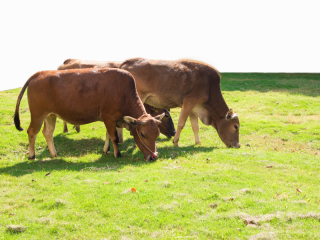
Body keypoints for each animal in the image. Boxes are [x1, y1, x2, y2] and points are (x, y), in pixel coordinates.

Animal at [14, 67, 165, 161]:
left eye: (157, 134)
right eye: (143, 134)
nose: (153, 157)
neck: (122, 93)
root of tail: (40, 73)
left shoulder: (111, 120)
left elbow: (108, 136)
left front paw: (106, 150)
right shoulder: (109, 117)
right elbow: (114, 137)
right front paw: (117, 154)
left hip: (50, 115)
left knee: (48, 133)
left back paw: (54, 154)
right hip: (38, 114)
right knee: (32, 131)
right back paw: (32, 155)